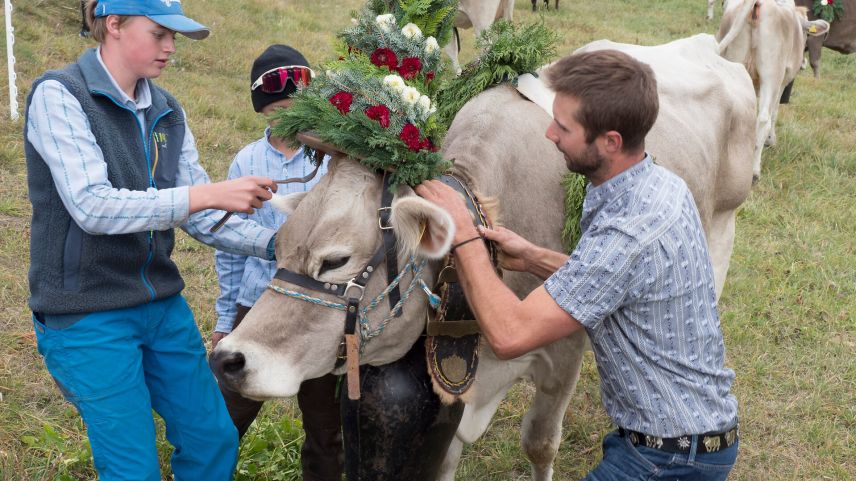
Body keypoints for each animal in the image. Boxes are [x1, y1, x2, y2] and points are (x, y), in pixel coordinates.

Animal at [716, 0, 828, 180]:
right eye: (807, 35)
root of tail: (758, 4)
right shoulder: (782, 82)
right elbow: (774, 112)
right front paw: (771, 140)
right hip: (771, 74)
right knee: (763, 118)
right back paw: (754, 171)